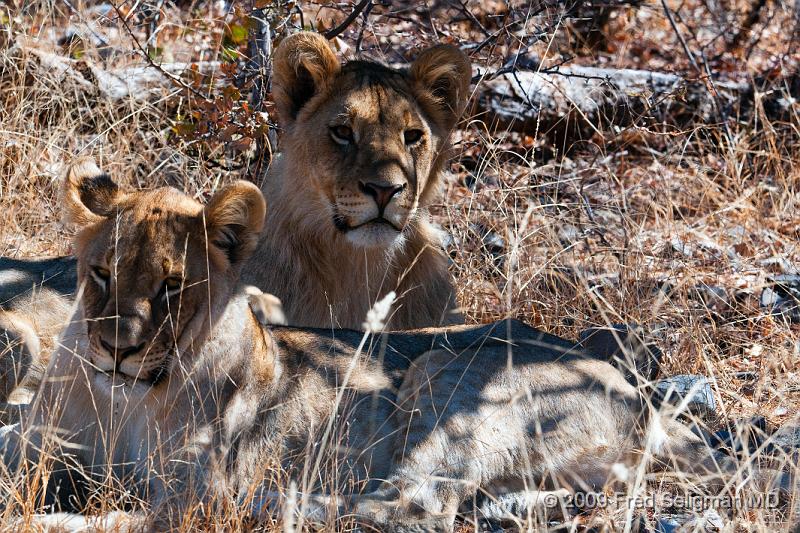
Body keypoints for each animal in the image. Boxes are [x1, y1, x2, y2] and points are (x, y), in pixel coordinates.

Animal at [3, 162, 768, 532]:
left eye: (171, 286)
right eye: (102, 273)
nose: (116, 348)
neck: (125, 400)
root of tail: (634, 388)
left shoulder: (194, 488)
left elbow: (143, 513)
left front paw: (62, 516)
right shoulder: (39, 443)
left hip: (444, 371)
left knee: (411, 505)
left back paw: (274, 505)